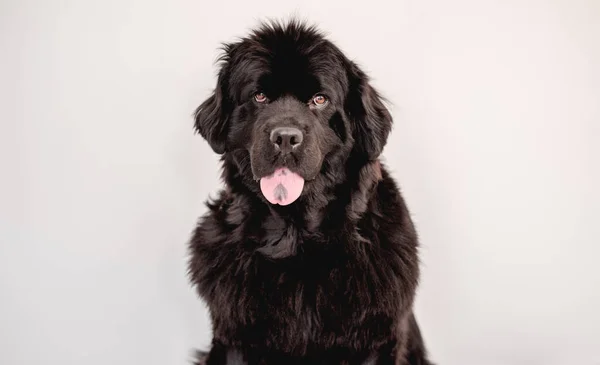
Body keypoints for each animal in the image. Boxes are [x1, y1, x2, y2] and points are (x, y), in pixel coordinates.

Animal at [186, 20, 432, 364]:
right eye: (259, 96)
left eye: (319, 99)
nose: (286, 138)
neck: (295, 237)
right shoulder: (235, 338)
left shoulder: (376, 338)